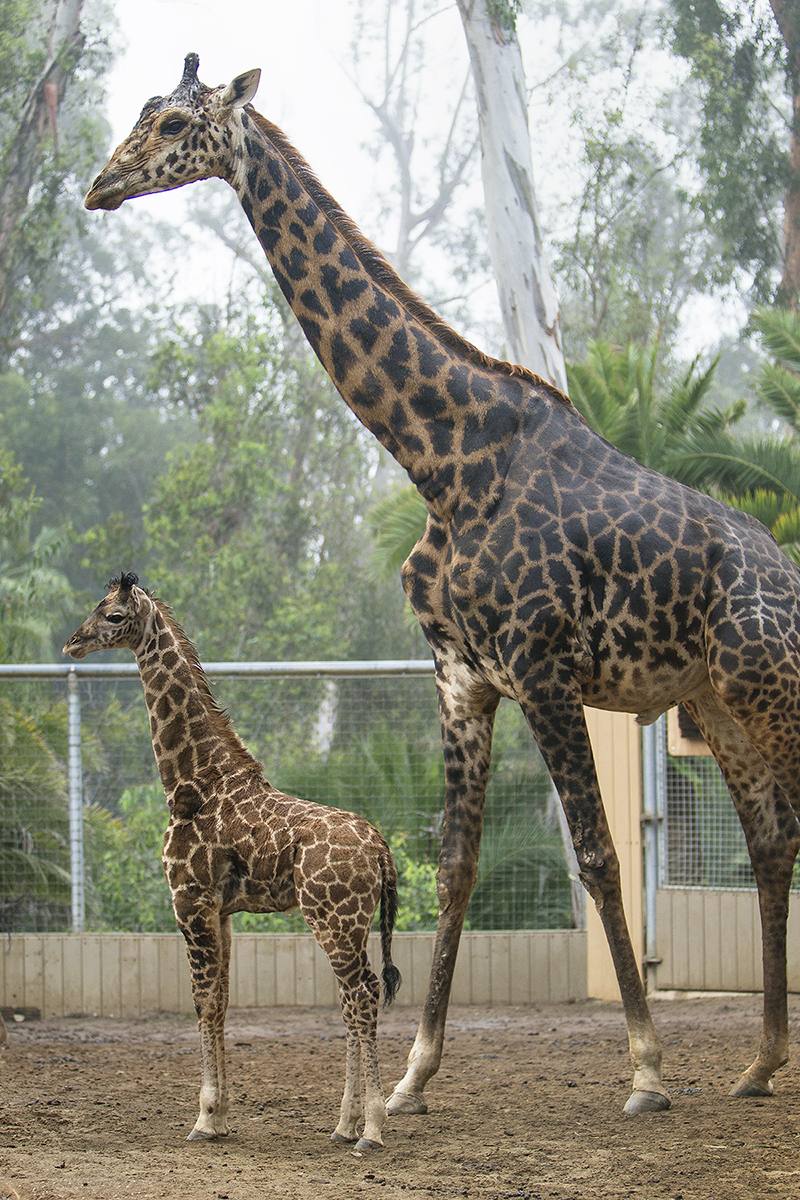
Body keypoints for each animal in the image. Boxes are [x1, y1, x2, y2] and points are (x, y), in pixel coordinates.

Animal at [62, 573, 400, 1152]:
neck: (190, 784)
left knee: (362, 995)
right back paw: (343, 1125)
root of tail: (380, 849)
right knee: (354, 998)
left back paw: (372, 1130)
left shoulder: (189, 903)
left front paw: (203, 1117)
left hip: (333, 919)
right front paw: (220, 1118)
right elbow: (220, 1002)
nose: (72, 642)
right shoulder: (220, 912)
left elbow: (200, 1002)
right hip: (350, 925)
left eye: (112, 615)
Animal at [86, 56, 800, 1113]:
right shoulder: (462, 675)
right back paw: (758, 1065)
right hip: (718, 705)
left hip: (766, 689)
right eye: (140, 113)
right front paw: (410, 1078)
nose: (101, 185)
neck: (443, 461)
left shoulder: (543, 667)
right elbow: (456, 864)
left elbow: (598, 855)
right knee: (770, 834)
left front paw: (645, 1069)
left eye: (175, 123)